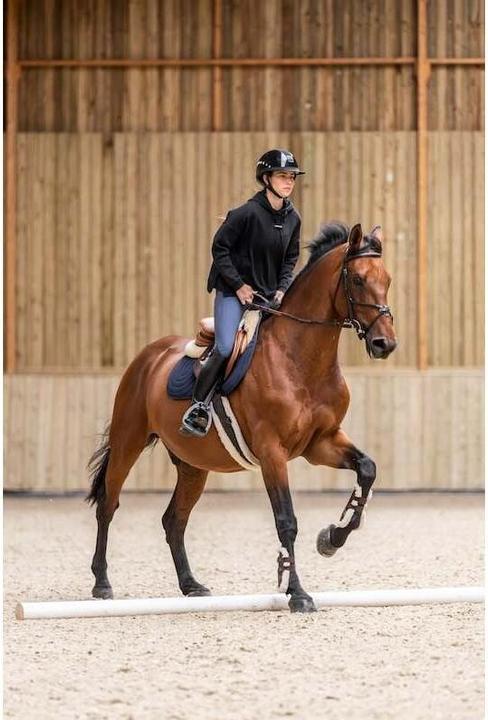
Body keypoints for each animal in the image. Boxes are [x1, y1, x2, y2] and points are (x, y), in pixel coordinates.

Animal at [86, 221, 397, 613]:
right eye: (357, 279)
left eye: (387, 280)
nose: (385, 344)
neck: (300, 359)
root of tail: (148, 355)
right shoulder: (272, 452)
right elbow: (286, 520)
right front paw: (297, 593)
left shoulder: (321, 442)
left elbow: (367, 470)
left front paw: (331, 538)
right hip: (129, 442)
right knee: (108, 506)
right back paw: (102, 583)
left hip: (193, 465)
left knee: (174, 520)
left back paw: (191, 585)